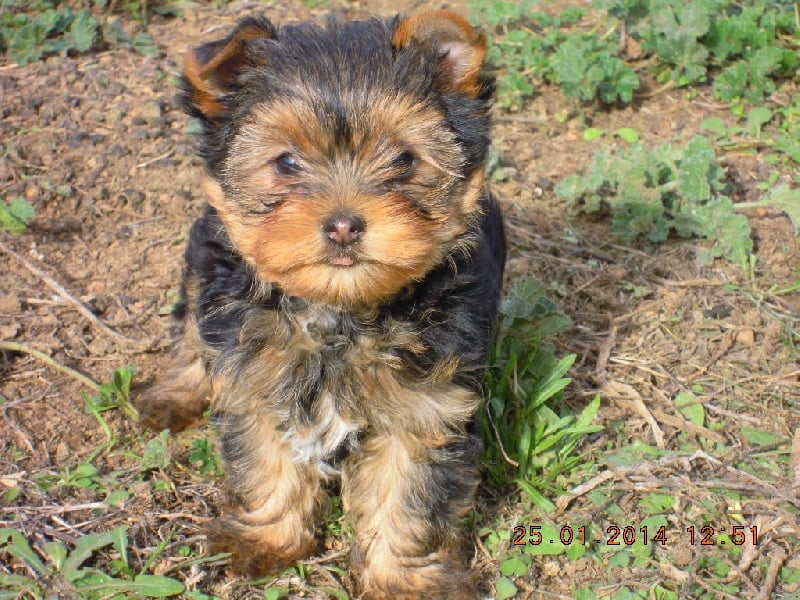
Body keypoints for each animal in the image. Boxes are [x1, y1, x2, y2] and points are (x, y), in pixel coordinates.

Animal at [135, 10, 504, 600]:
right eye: (286, 162)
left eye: (404, 160)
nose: (344, 224)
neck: (339, 311)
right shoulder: (255, 376)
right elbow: (264, 459)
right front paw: (267, 539)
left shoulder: (427, 406)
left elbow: (409, 492)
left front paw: (403, 580)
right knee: (194, 331)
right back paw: (174, 394)